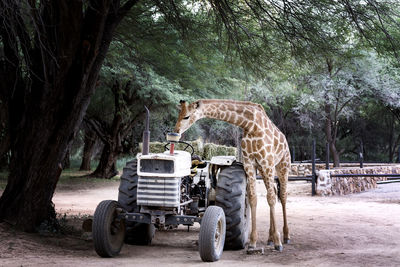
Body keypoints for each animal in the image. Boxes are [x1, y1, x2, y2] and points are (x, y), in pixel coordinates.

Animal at [175, 99, 290, 252]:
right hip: (264, 169)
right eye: (179, 114)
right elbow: (253, 198)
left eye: (186, 116)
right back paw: (270, 239)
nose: (176, 131)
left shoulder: (267, 162)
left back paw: (285, 236)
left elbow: (271, 199)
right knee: (273, 192)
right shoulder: (250, 163)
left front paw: (278, 242)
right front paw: (253, 242)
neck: (251, 124)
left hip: (282, 166)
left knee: (282, 195)